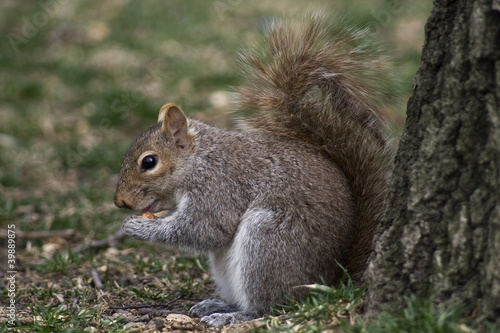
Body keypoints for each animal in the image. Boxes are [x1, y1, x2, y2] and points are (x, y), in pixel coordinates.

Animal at [114, 12, 394, 326]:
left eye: (149, 162)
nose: (119, 202)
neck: (199, 160)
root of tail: (328, 281)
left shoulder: (219, 187)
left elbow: (205, 229)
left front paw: (137, 227)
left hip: (268, 242)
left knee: (270, 305)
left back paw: (234, 316)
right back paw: (216, 305)